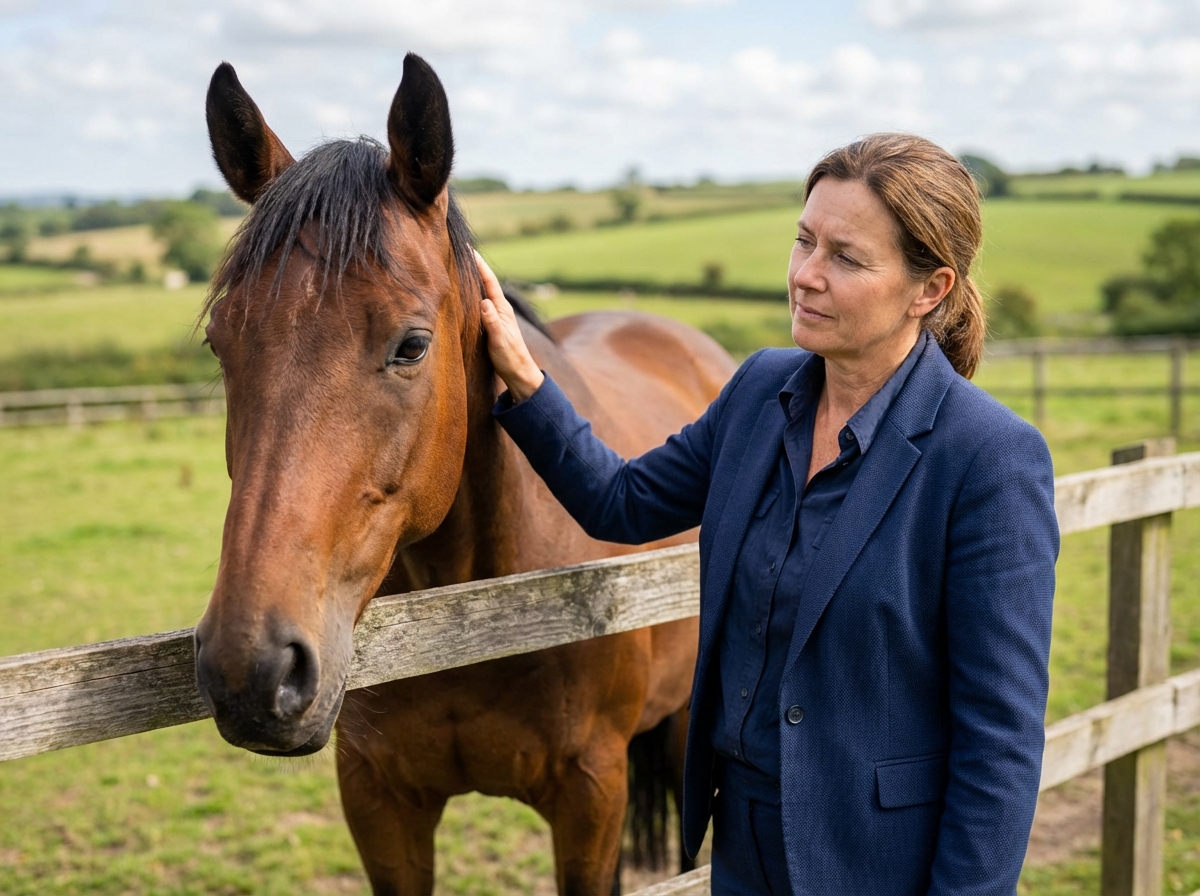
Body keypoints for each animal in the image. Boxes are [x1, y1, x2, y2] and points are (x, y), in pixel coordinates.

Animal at [192, 54, 736, 895]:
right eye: (220, 343)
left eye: (412, 346)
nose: (251, 670)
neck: (473, 614)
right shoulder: (379, 800)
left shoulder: (592, 794)